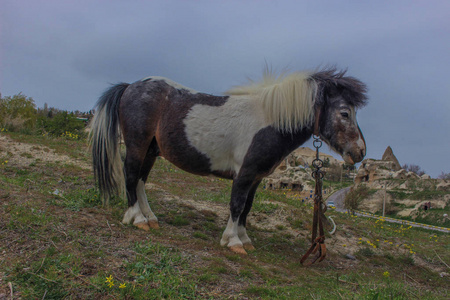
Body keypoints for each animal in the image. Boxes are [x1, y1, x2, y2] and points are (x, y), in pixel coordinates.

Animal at [89, 68, 368, 255]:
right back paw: (136, 218)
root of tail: (130, 87)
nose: (360, 152)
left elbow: (247, 208)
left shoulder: (255, 179)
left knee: (140, 182)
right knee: (131, 177)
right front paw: (233, 242)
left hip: (150, 151)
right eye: (345, 113)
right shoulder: (243, 175)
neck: (268, 120)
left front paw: (244, 239)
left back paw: (150, 218)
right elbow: (236, 205)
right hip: (137, 146)